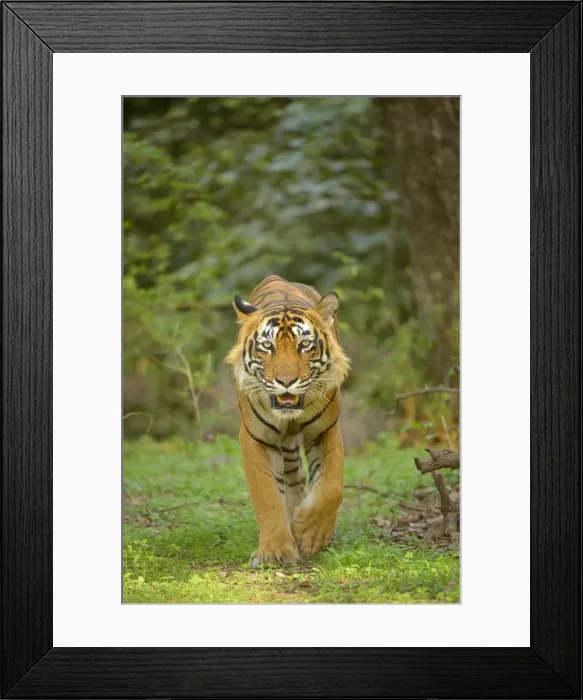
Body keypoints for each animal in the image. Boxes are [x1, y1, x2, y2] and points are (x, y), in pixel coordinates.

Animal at [226, 274, 350, 568]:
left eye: (304, 345)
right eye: (267, 347)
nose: (285, 381)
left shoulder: (326, 430)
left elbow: (331, 486)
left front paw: (310, 534)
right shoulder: (255, 438)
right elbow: (267, 496)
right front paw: (275, 552)